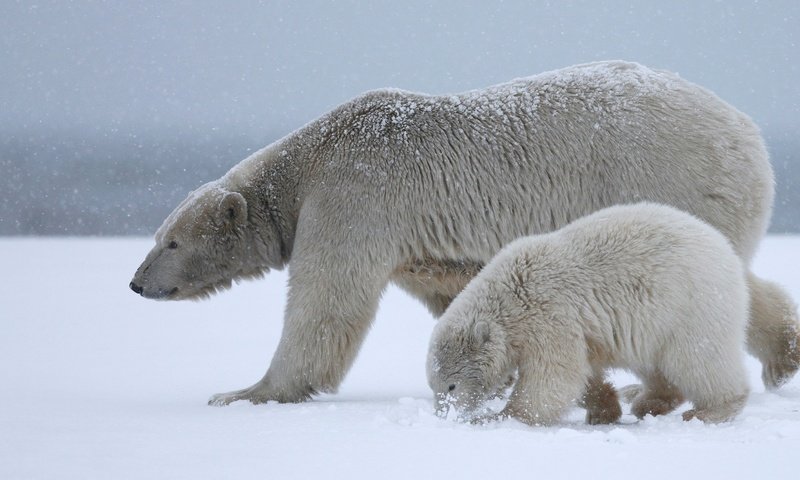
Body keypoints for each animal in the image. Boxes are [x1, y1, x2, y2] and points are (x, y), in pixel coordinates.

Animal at [128, 61, 796, 404]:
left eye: (171, 241)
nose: (135, 283)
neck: (308, 162)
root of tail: (748, 130)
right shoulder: (417, 243)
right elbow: (454, 296)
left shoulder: (352, 199)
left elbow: (326, 304)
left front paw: (246, 392)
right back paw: (781, 357)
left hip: (674, 177)